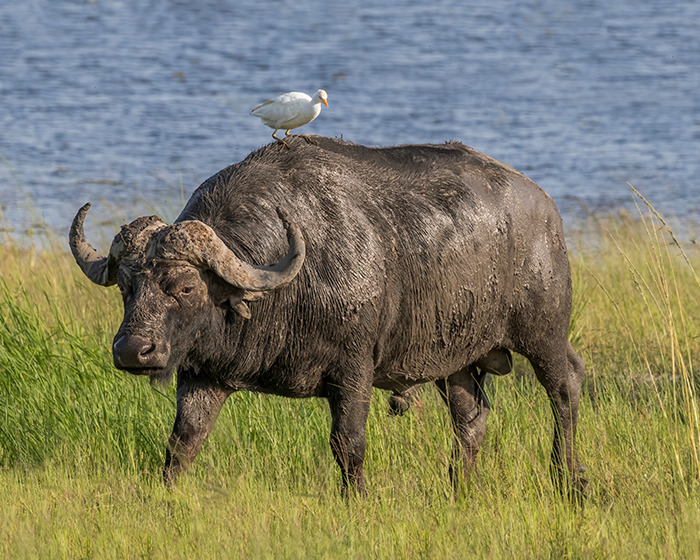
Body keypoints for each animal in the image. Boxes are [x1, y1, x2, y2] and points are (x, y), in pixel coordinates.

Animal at [69, 136, 586, 496]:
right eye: (127, 287)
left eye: (185, 287)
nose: (133, 351)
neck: (286, 291)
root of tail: (545, 208)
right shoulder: (203, 374)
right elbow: (183, 441)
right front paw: (166, 495)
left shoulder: (354, 371)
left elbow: (348, 444)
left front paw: (356, 499)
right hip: (454, 361)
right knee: (471, 420)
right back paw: (458, 489)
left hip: (544, 334)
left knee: (565, 389)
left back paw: (570, 479)